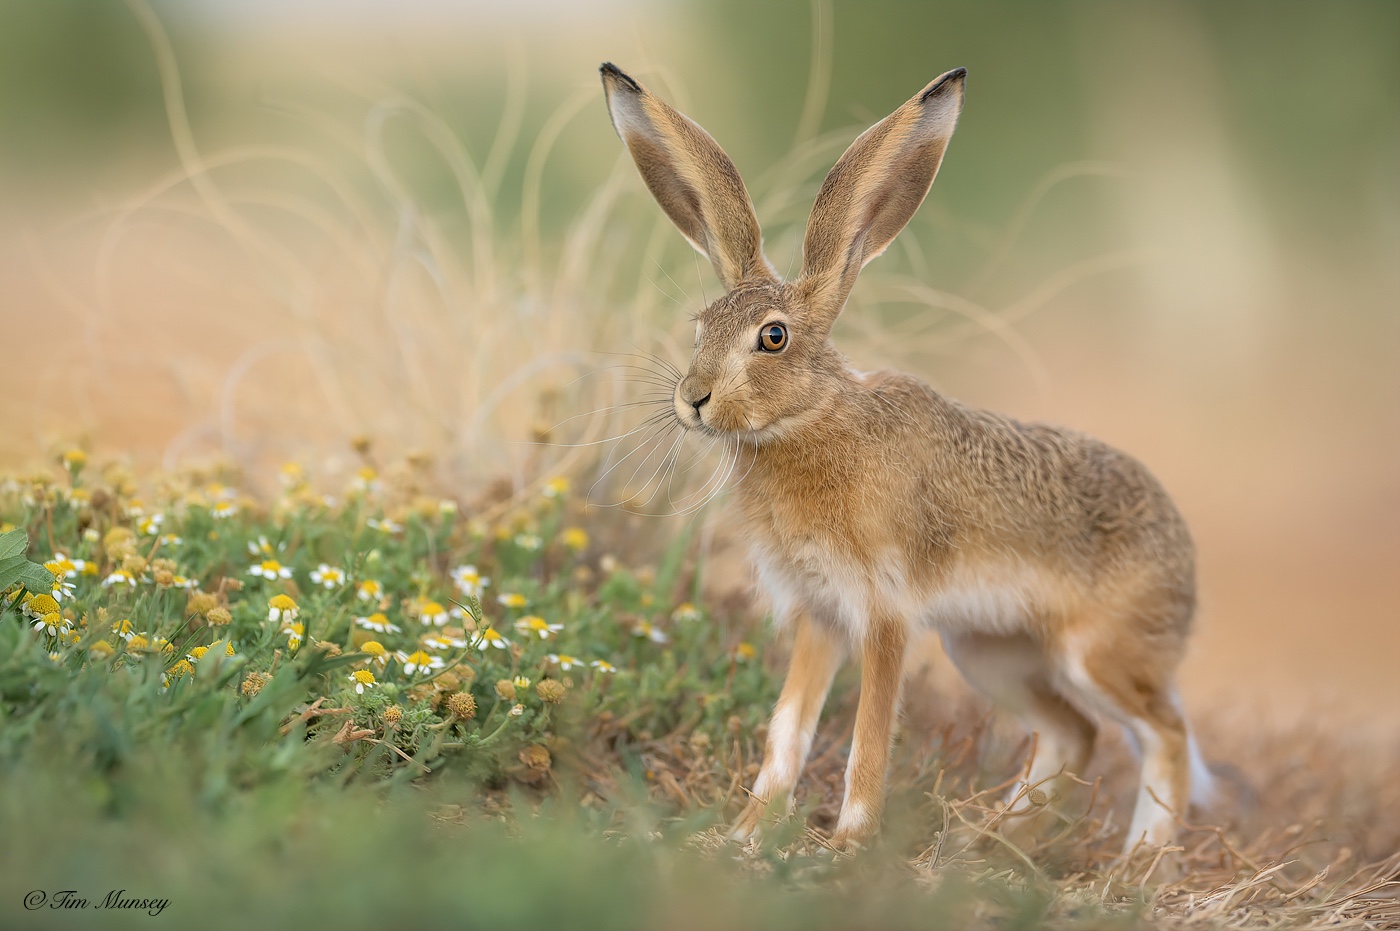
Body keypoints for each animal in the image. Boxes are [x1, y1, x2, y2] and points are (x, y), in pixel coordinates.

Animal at [599, 61, 1213, 854]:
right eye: (701, 326)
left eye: (773, 337)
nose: (694, 398)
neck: (815, 422)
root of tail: (1187, 563)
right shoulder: (820, 613)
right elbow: (786, 732)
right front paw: (745, 835)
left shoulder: (883, 610)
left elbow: (868, 737)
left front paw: (847, 846)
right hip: (987, 652)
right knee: (1073, 732)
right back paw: (986, 841)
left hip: (1098, 652)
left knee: (1164, 733)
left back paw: (1136, 865)